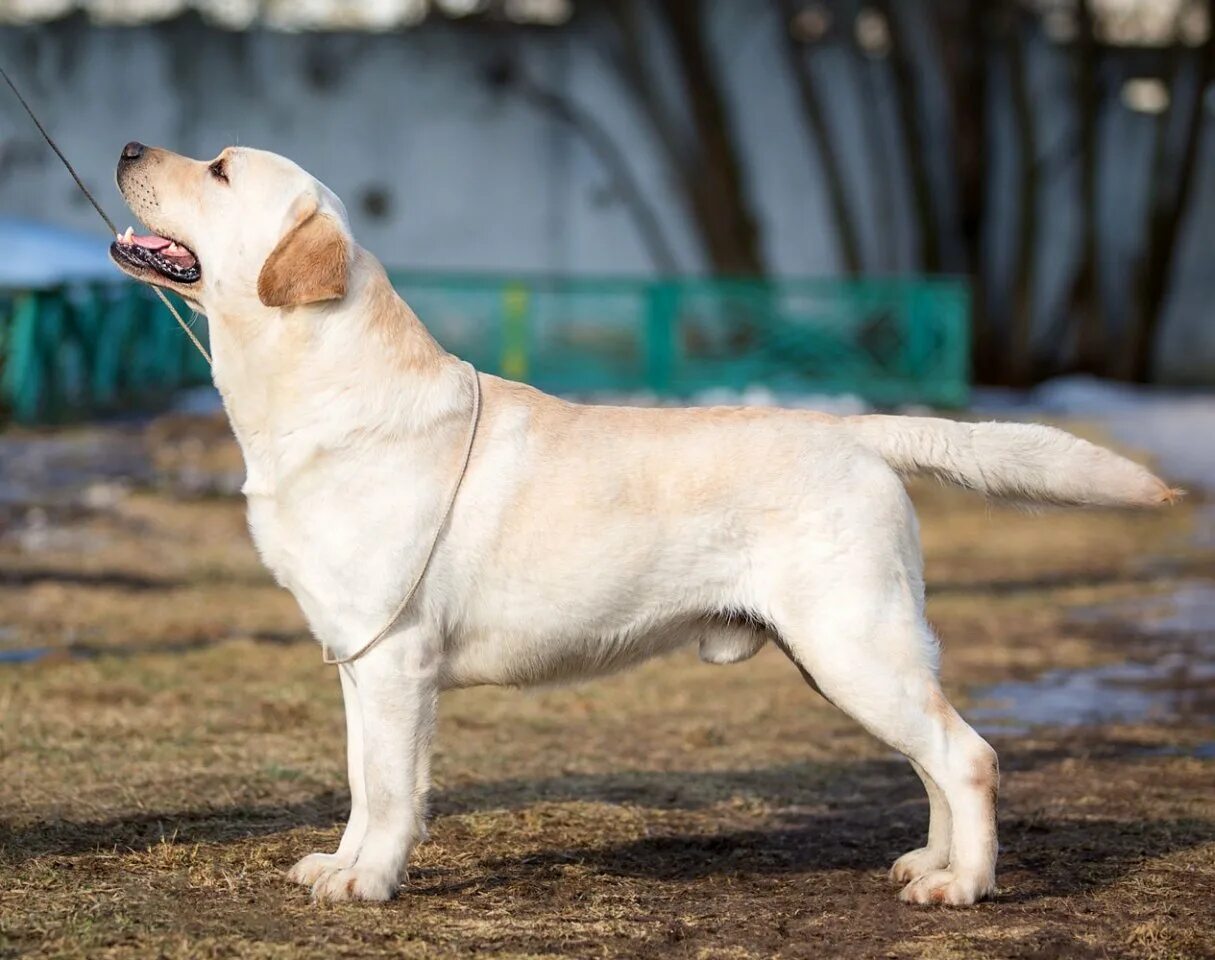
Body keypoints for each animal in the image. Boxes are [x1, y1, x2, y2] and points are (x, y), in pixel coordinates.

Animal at [111, 139, 1176, 904]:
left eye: (219, 169)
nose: (124, 146)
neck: (317, 388)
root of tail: (854, 428)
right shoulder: (356, 657)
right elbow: (361, 779)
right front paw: (339, 865)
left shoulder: (397, 660)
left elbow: (394, 788)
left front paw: (369, 881)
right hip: (853, 655)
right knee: (934, 760)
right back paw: (932, 865)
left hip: (851, 643)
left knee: (969, 757)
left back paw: (965, 887)